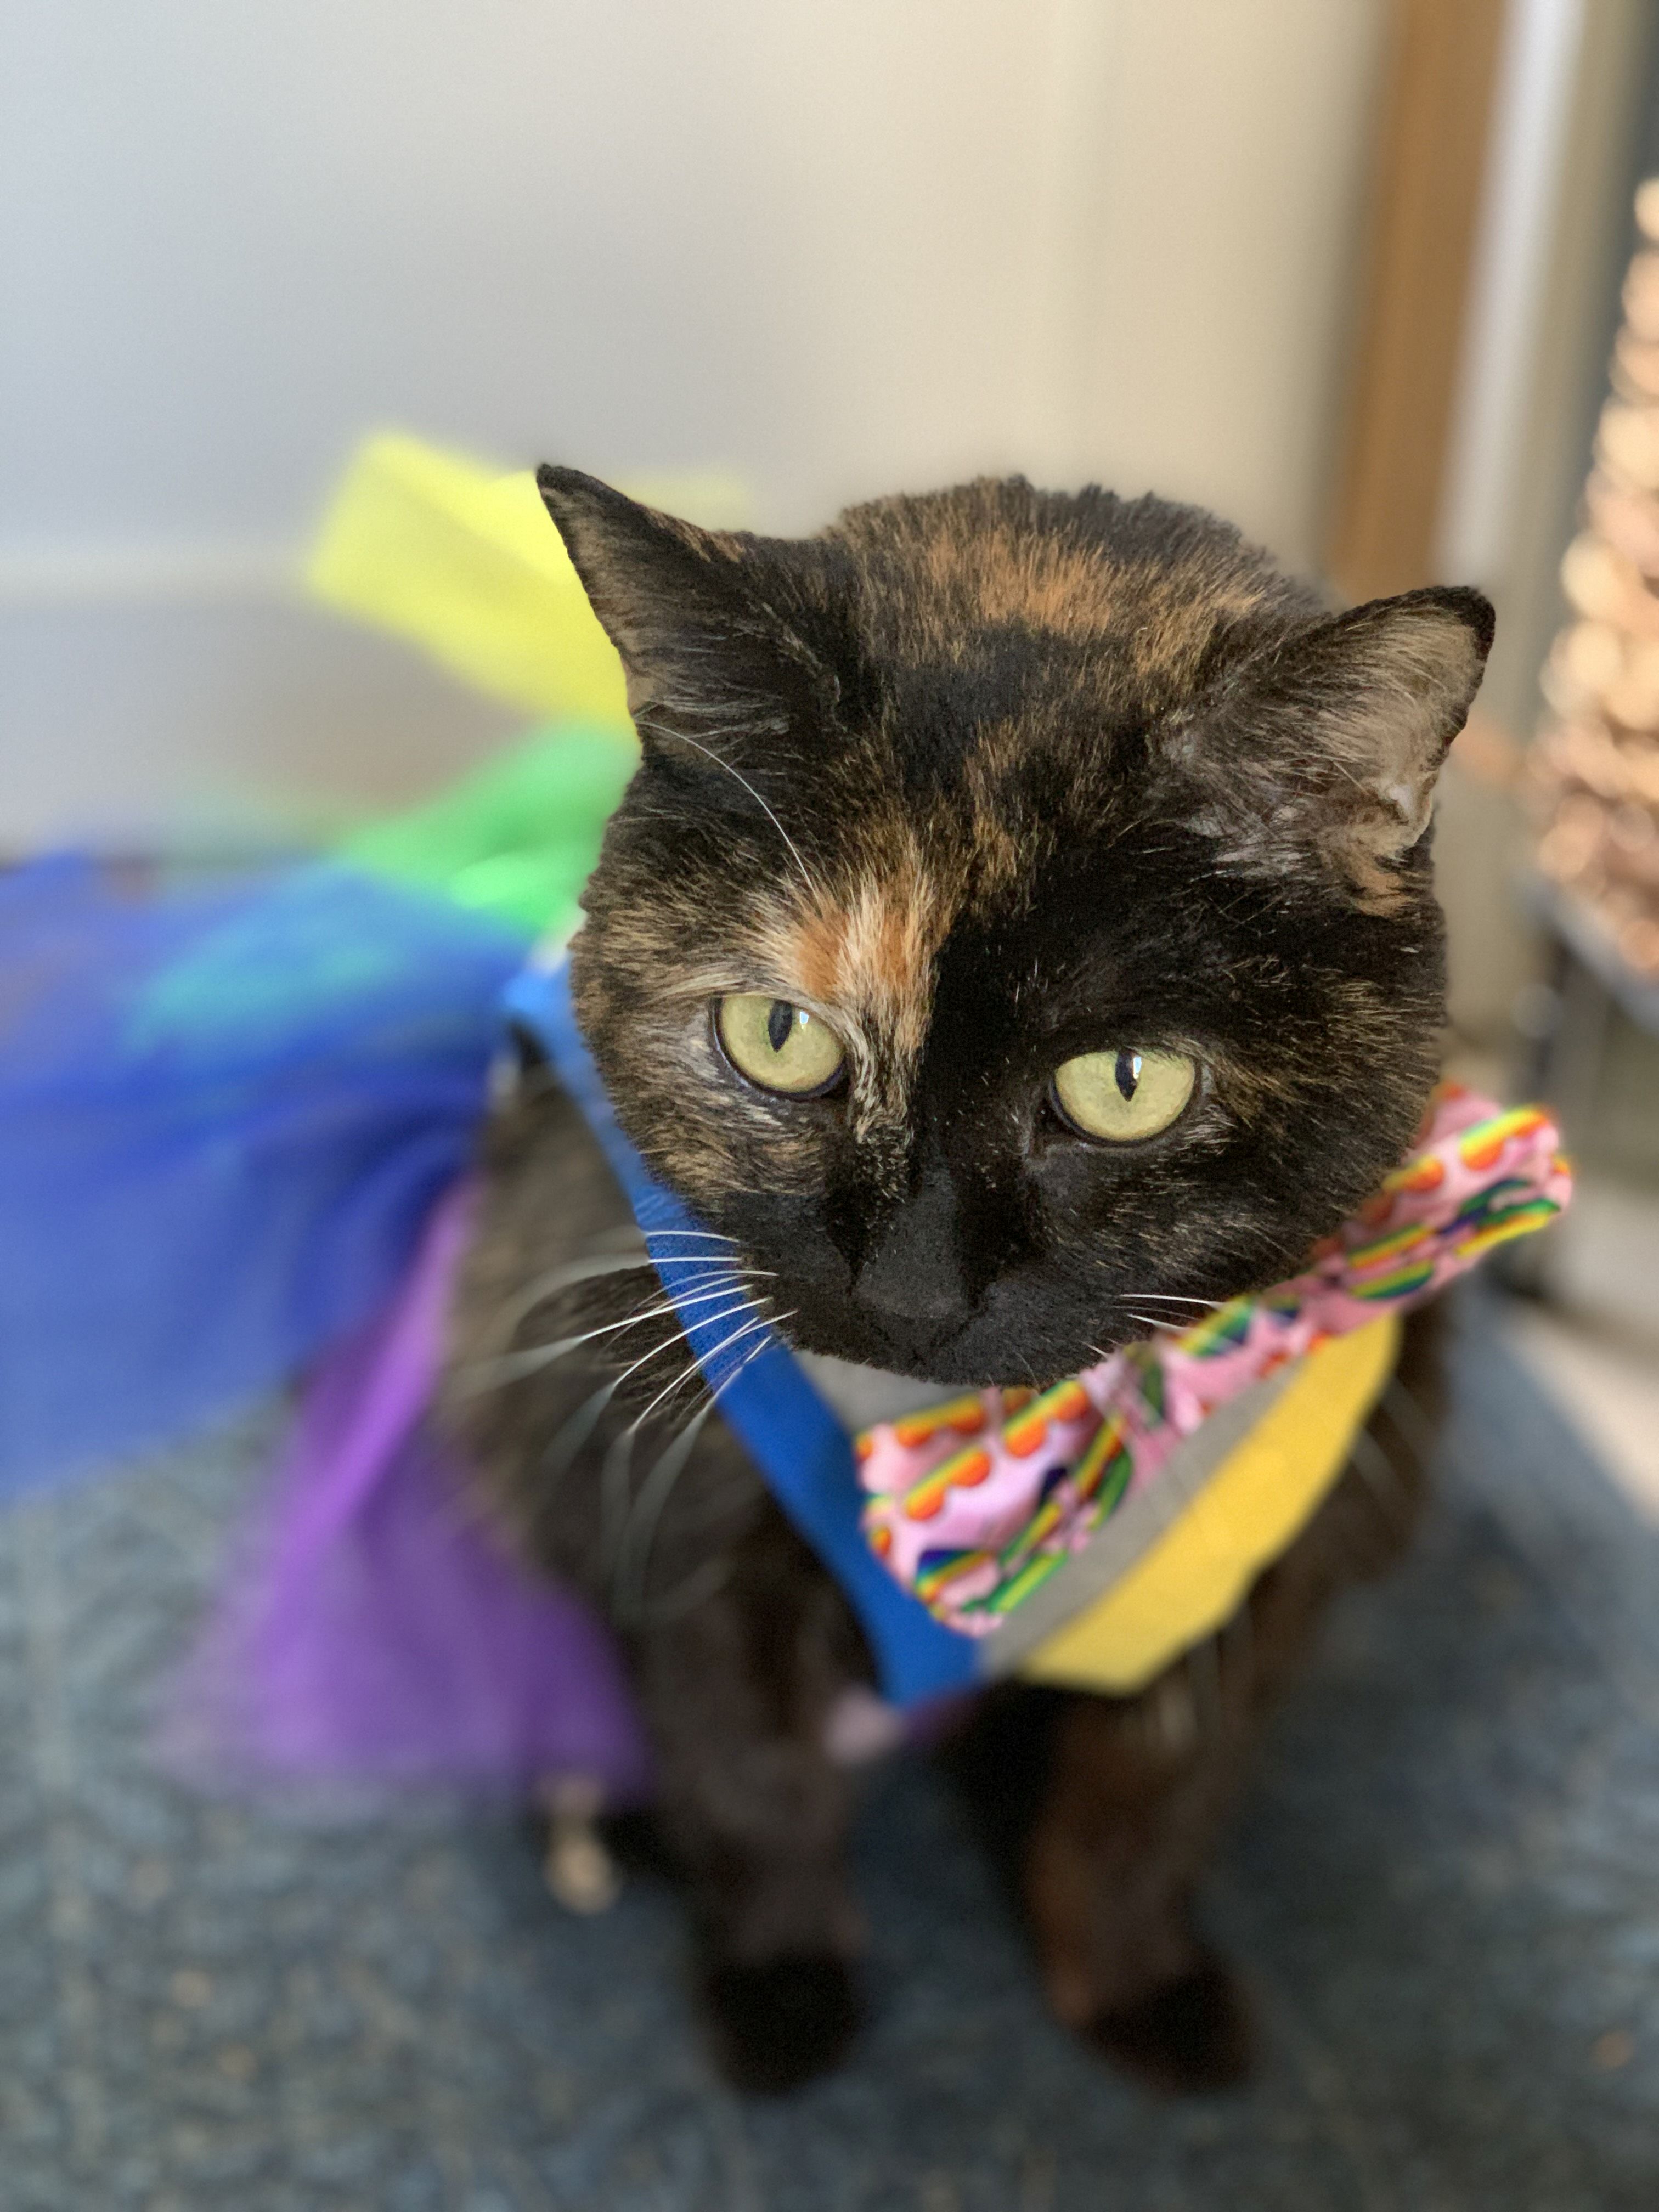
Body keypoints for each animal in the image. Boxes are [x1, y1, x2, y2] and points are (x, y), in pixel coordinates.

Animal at [442, 466, 1495, 2088]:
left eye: (1127, 1083)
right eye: (778, 1036)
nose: (914, 1286)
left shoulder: (1273, 1568)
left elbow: (1148, 1805)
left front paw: (1133, 1989)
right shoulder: (676, 1503)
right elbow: (749, 1774)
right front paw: (784, 1989)